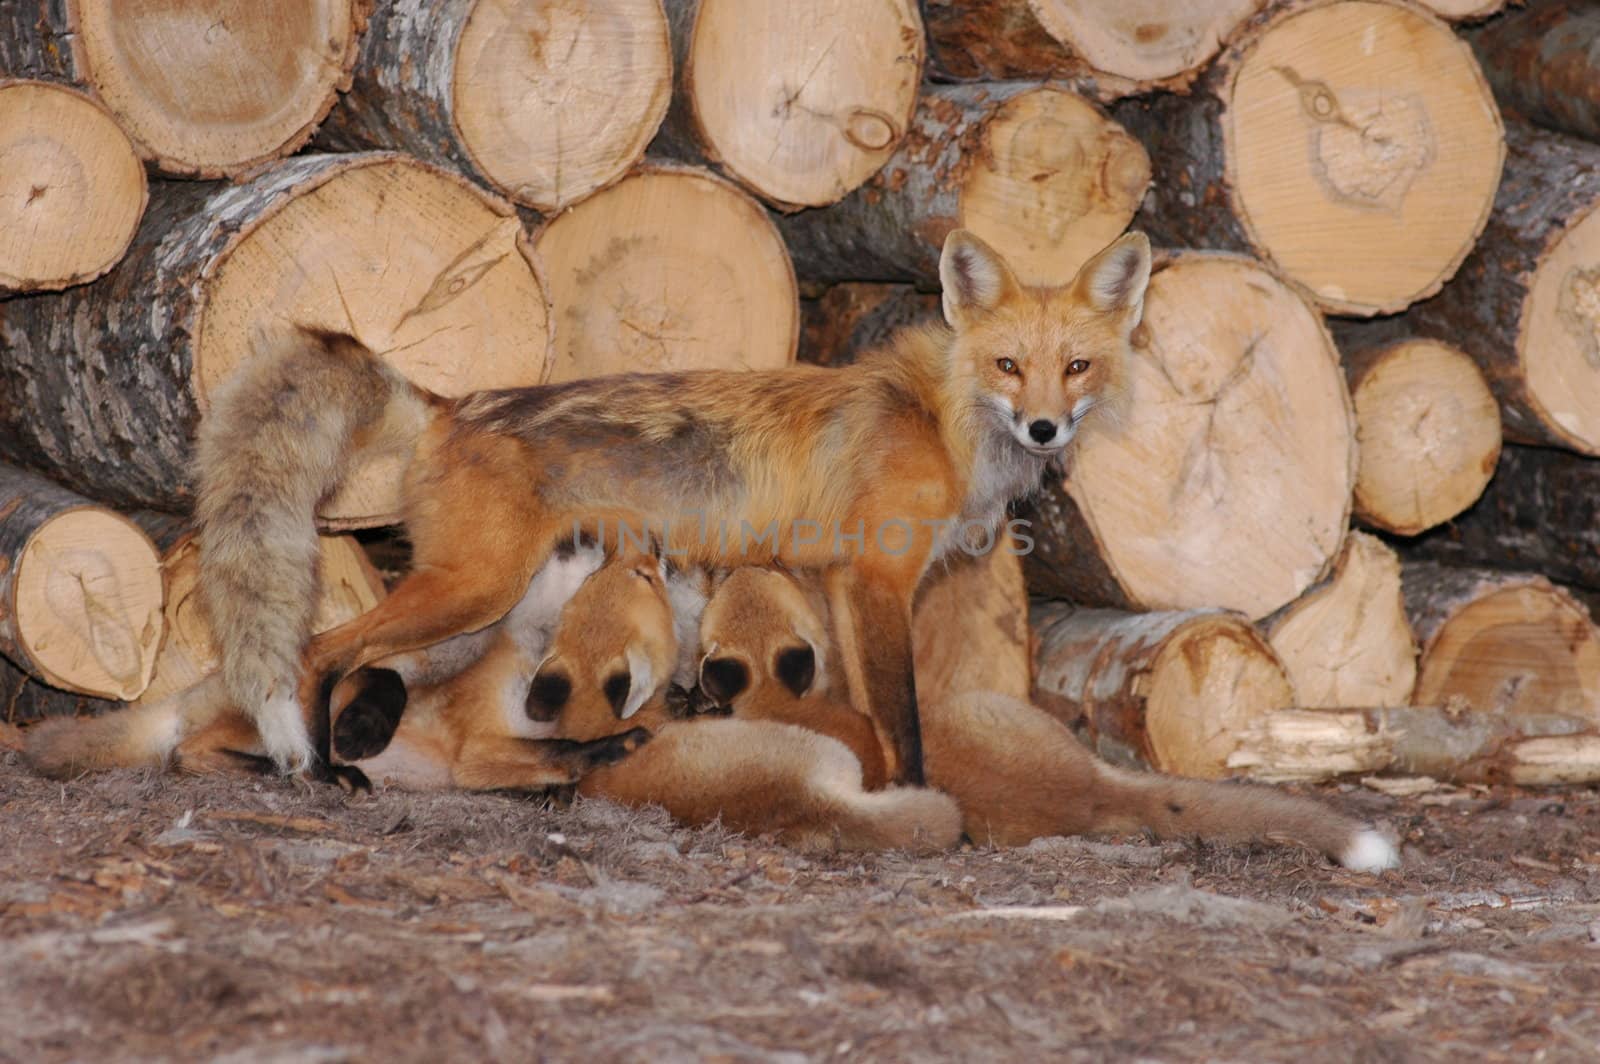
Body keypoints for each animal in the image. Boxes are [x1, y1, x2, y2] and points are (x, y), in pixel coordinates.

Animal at [193, 228, 1158, 784]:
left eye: (1076, 367)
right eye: (1008, 366)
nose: (1043, 428)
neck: (943, 422)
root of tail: (446, 405)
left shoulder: (845, 585)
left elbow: (867, 708)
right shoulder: (878, 577)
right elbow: (906, 719)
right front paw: (923, 806)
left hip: (479, 607)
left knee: (370, 665)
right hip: (473, 592)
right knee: (320, 650)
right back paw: (316, 770)